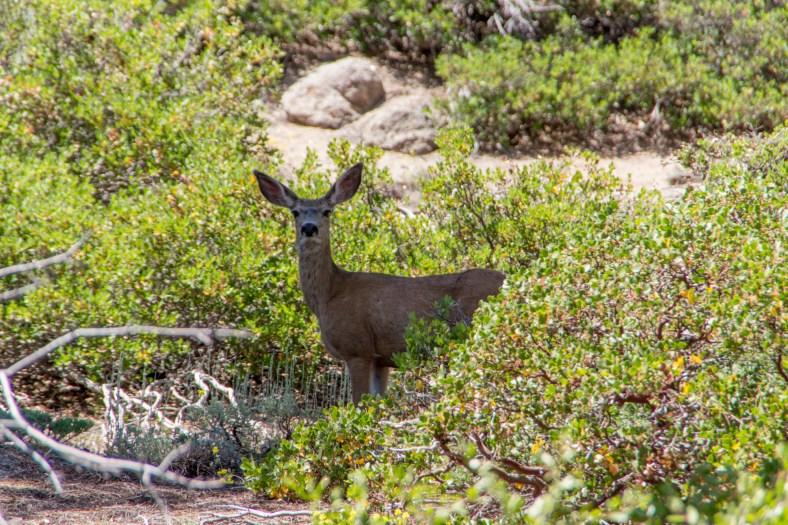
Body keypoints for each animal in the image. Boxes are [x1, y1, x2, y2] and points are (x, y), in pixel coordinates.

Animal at [253, 162, 505, 403]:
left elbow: (359, 404)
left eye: (327, 211)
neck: (330, 294)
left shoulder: (358, 348)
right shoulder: (381, 359)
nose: (309, 228)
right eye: (295, 212)